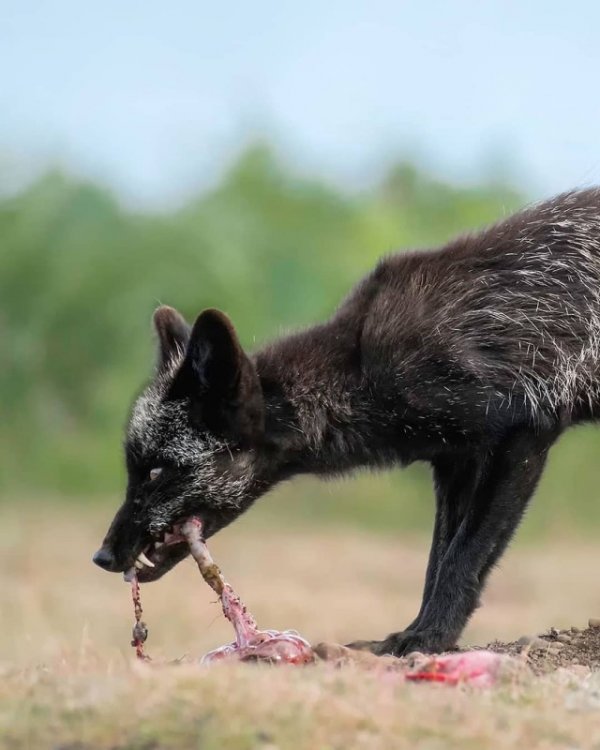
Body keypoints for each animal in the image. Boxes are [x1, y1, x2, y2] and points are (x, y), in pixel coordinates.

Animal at [92, 189, 600, 656]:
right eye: (134, 471)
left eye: (156, 471)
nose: (102, 556)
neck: (359, 368)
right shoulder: (455, 460)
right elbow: (437, 560)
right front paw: (416, 631)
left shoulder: (520, 435)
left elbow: (464, 558)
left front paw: (430, 638)